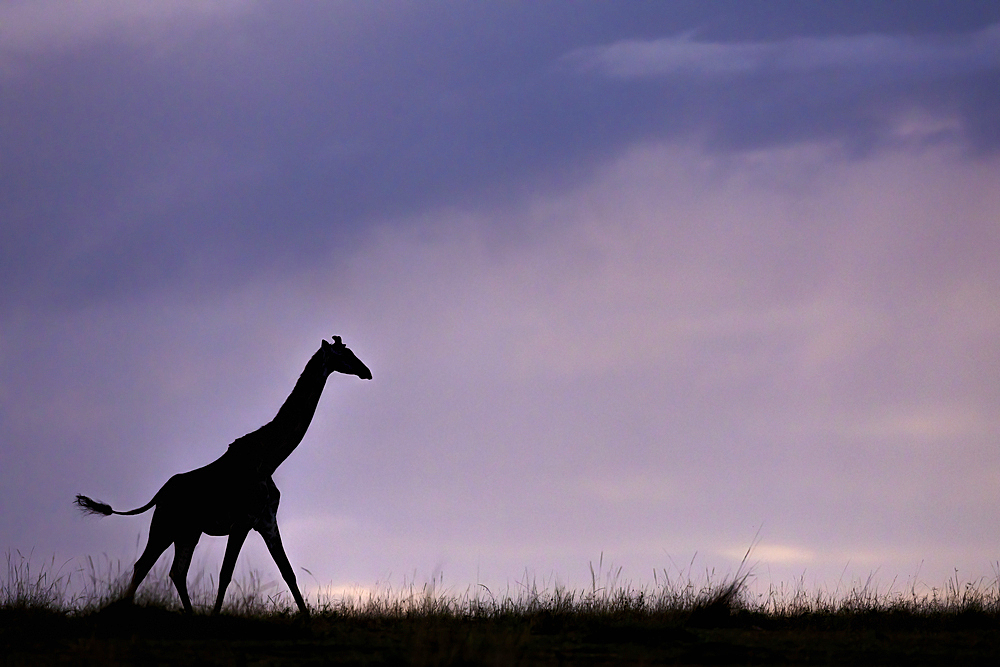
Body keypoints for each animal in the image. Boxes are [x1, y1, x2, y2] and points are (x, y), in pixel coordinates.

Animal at [75, 336, 372, 620]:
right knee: (144, 564)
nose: (366, 371)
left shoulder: (267, 521)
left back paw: (190, 615)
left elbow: (288, 572)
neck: (269, 459)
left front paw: (307, 618)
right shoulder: (241, 521)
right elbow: (225, 573)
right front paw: (216, 616)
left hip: (188, 531)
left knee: (176, 571)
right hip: (165, 525)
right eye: (343, 354)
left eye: (351, 351)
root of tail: (159, 494)